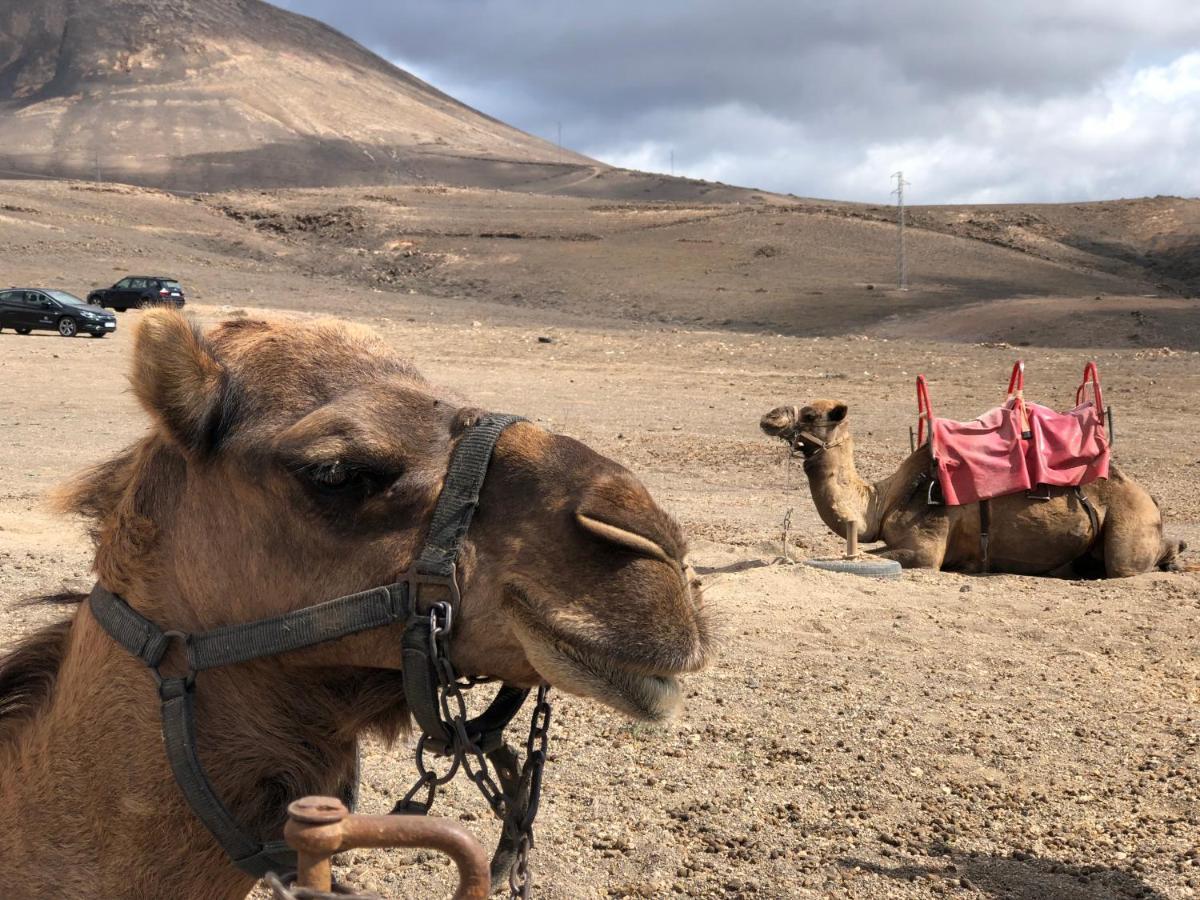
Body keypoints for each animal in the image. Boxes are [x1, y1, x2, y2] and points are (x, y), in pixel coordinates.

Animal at [758, 400, 1180, 578]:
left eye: (810, 414)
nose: (769, 417)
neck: (883, 500)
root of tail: (1151, 499)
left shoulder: (925, 547)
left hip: (1129, 526)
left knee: (1127, 564)